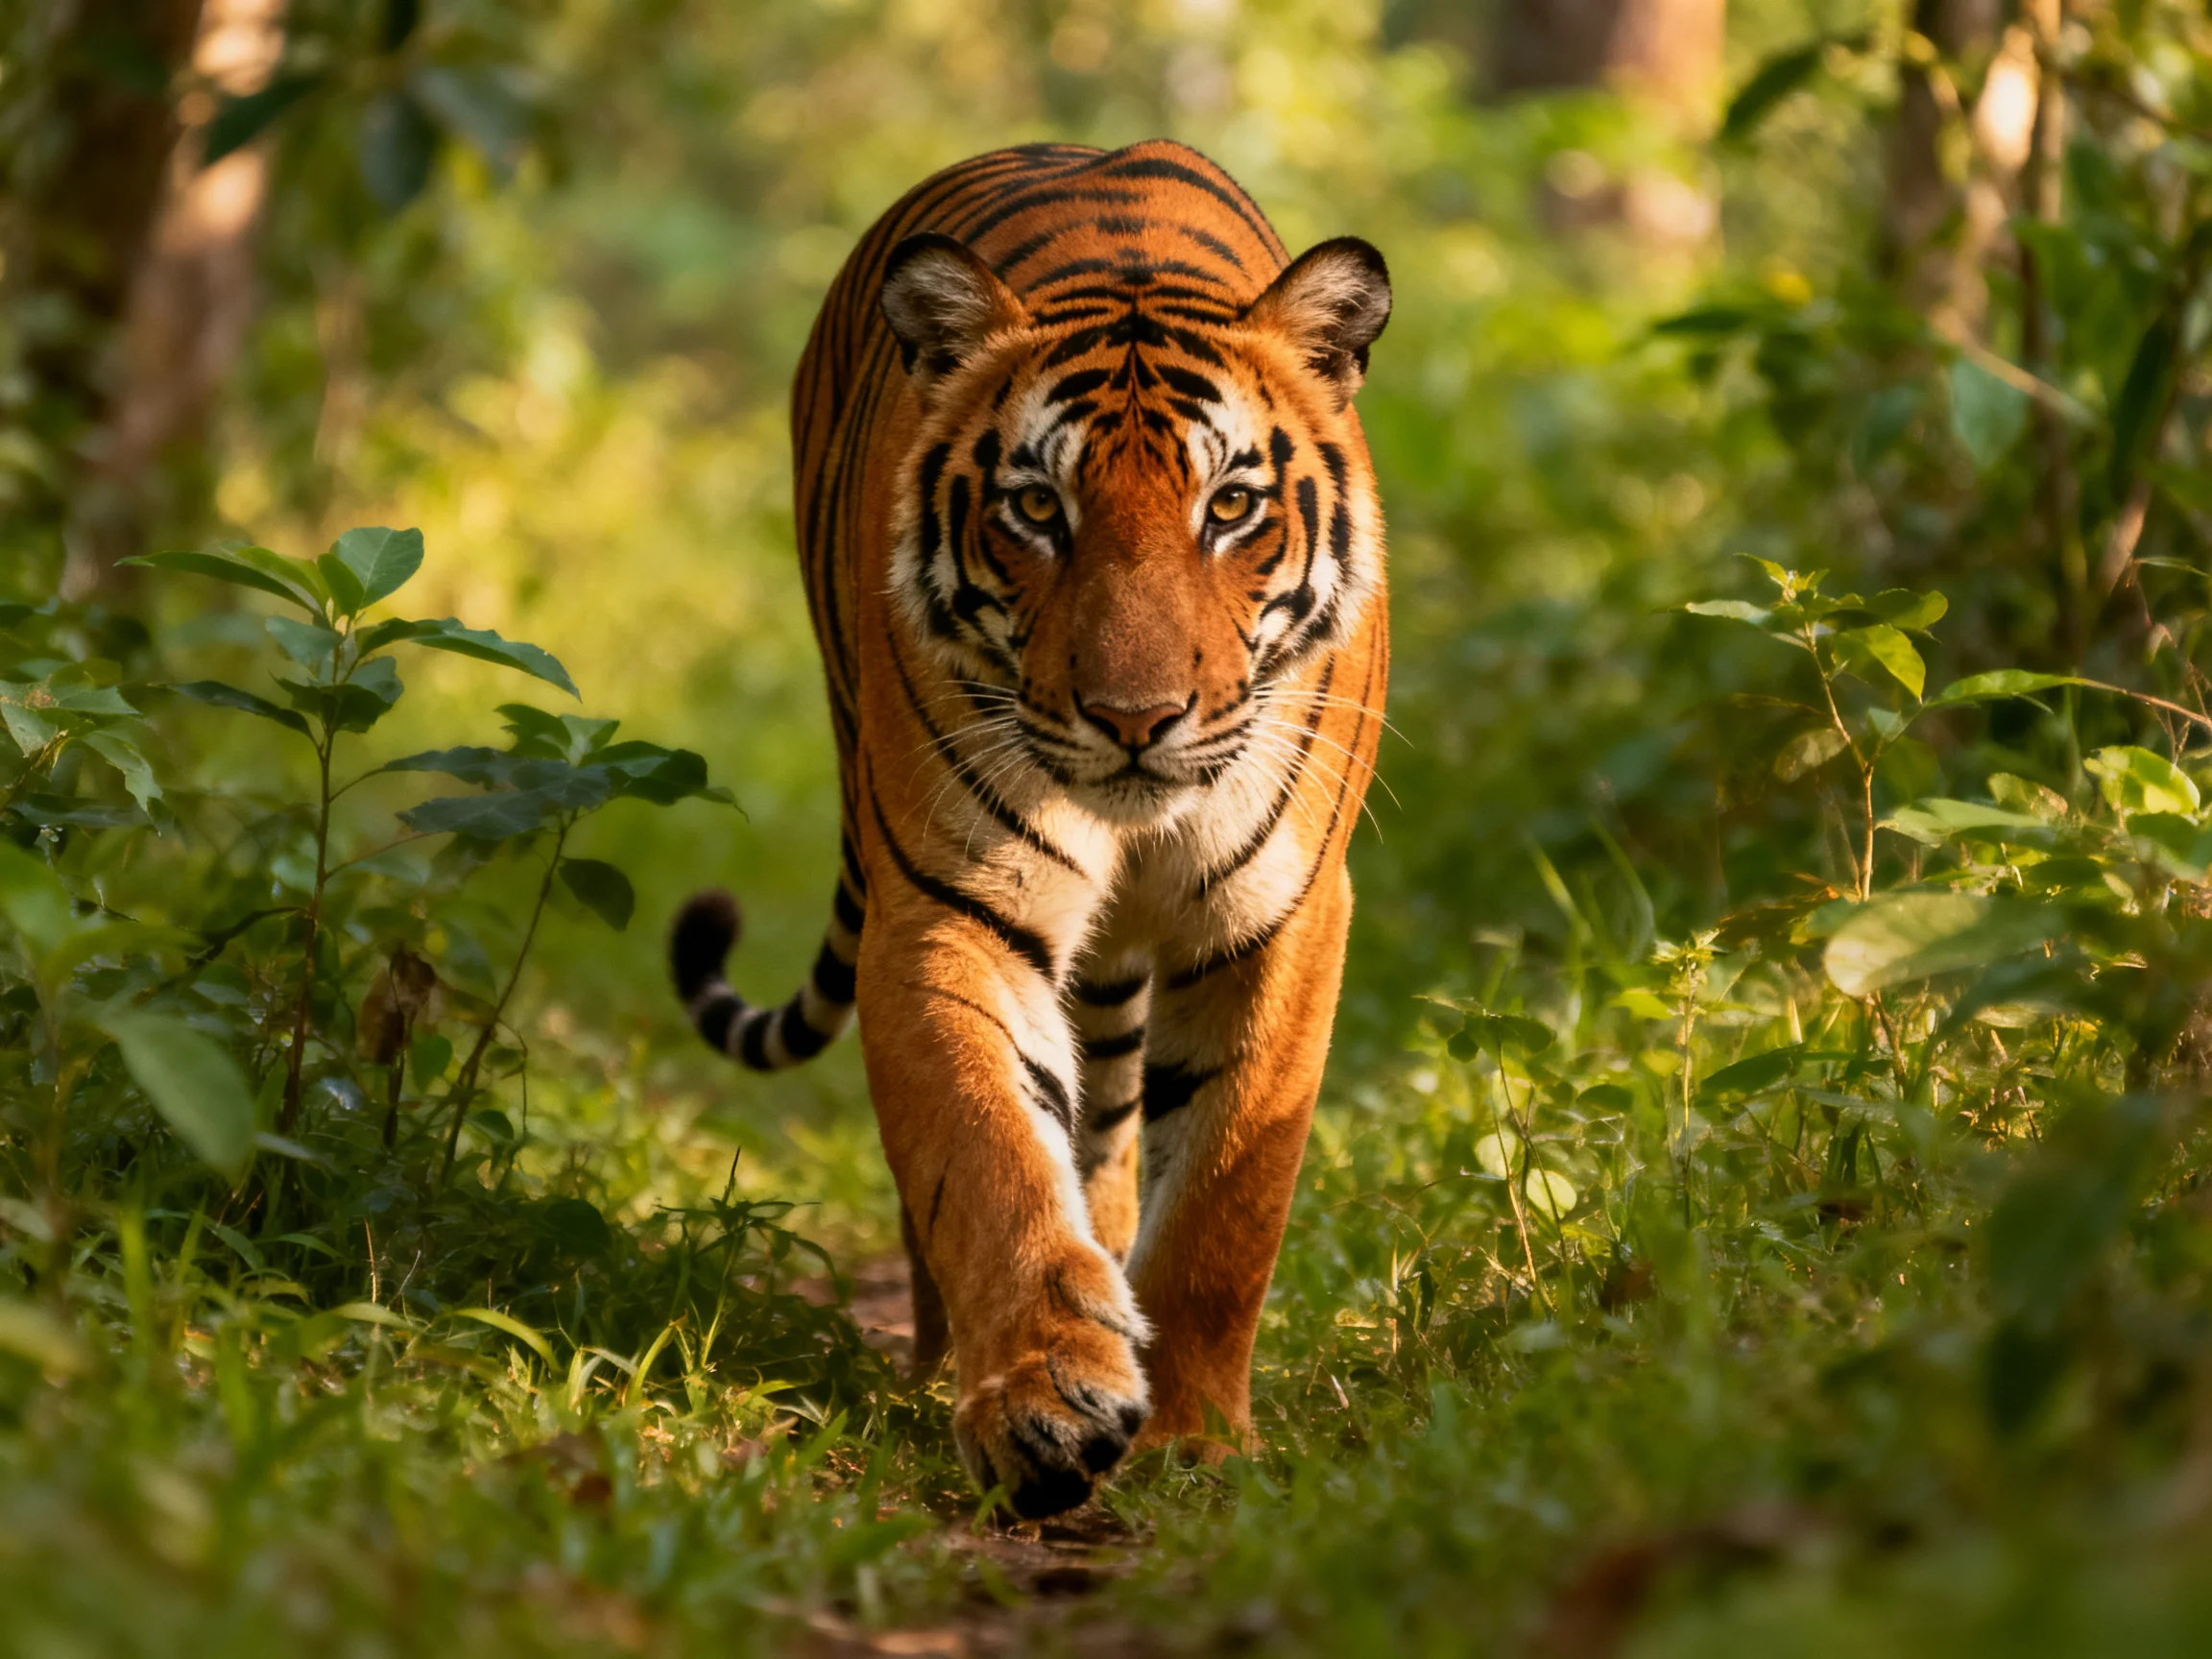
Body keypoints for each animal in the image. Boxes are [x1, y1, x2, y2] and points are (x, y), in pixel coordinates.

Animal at [670, 140, 1389, 1518]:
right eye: (1038, 509)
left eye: (1230, 506)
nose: (1135, 719)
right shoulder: (946, 904)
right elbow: (988, 1150)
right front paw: (1043, 1401)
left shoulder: (1280, 913)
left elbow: (1226, 1196)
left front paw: (1193, 1435)